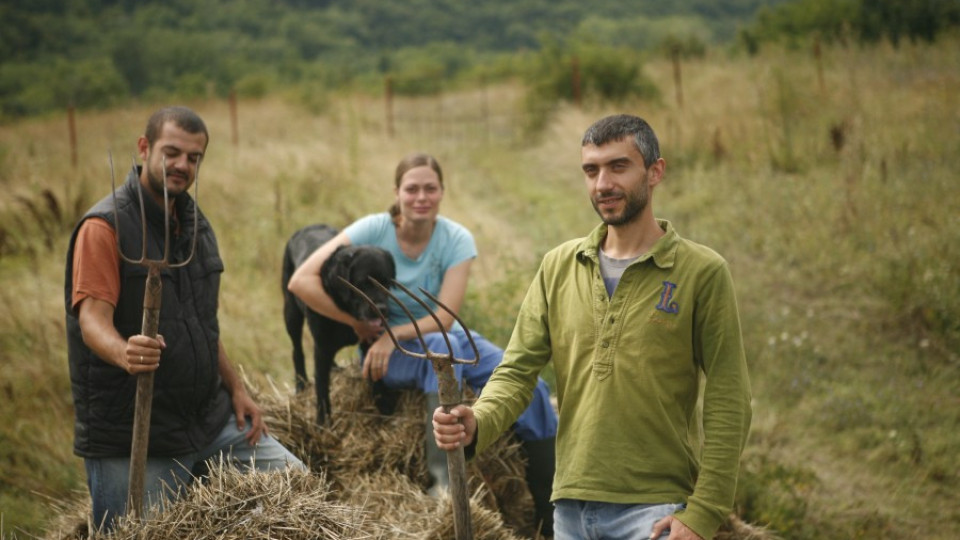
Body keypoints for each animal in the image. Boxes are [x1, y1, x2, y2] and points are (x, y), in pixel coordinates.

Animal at [282, 224, 394, 426]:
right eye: (362, 283)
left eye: (386, 282)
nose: (381, 308)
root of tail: (305, 228)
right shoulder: (321, 347)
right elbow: (321, 386)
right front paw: (323, 421)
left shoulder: (369, 339)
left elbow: (374, 371)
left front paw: (384, 404)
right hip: (291, 312)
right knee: (297, 350)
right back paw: (301, 384)